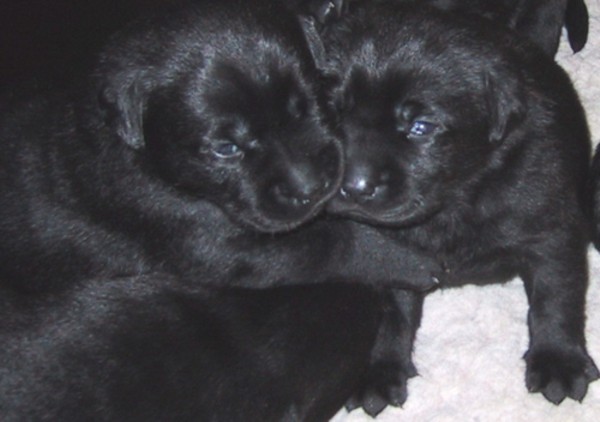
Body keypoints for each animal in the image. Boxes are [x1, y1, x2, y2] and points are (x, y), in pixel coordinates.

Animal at [316, 0, 596, 416]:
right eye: (334, 111)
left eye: (420, 127)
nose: (353, 185)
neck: (455, 198)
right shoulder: (386, 254)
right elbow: (391, 311)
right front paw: (378, 372)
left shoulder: (552, 229)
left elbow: (556, 294)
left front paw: (558, 361)